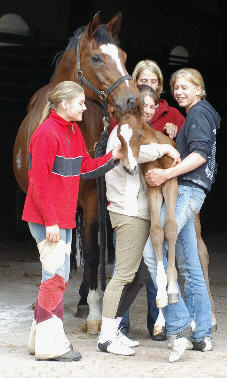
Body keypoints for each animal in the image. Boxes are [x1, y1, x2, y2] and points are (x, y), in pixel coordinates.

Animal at [13, 12, 138, 334]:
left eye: (123, 56)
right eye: (96, 57)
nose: (132, 100)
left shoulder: (93, 199)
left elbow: (92, 251)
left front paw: (94, 310)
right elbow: (52, 250)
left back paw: (82, 300)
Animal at [116, 101, 217, 334]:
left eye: (139, 134)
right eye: (118, 136)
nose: (129, 167)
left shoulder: (170, 183)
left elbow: (170, 228)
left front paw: (171, 290)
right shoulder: (153, 187)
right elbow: (157, 233)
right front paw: (163, 302)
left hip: (194, 220)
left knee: (201, 254)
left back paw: (211, 319)